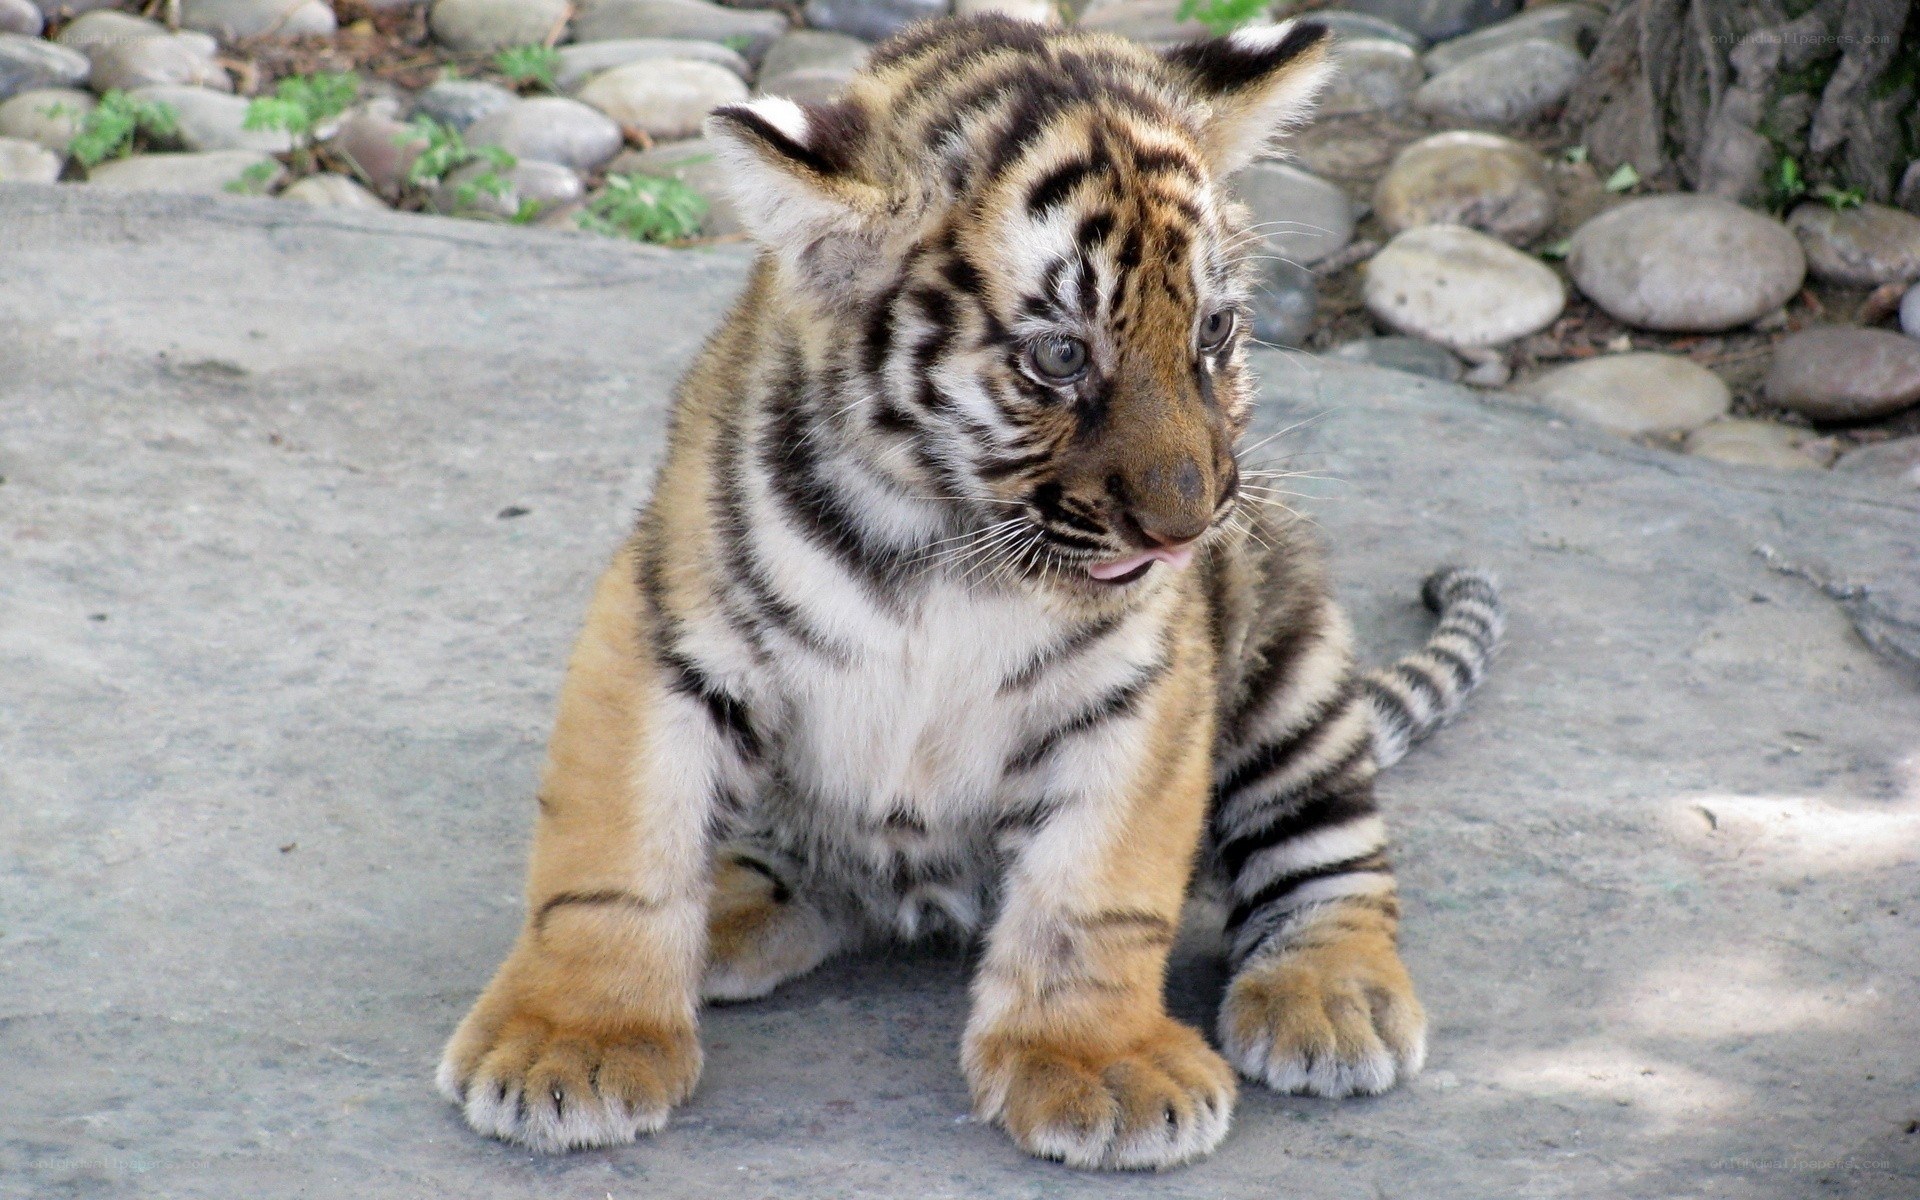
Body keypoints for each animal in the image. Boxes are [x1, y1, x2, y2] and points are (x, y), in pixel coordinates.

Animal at [435, 13, 1505, 1171]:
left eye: (1214, 332)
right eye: (1060, 356)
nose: (1190, 527)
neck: (952, 544)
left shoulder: (1139, 687)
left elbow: (1095, 891)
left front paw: (1100, 1065)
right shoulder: (666, 631)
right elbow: (613, 857)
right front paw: (572, 1041)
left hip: (1295, 663)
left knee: (1333, 857)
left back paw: (1332, 999)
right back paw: (723, 909)